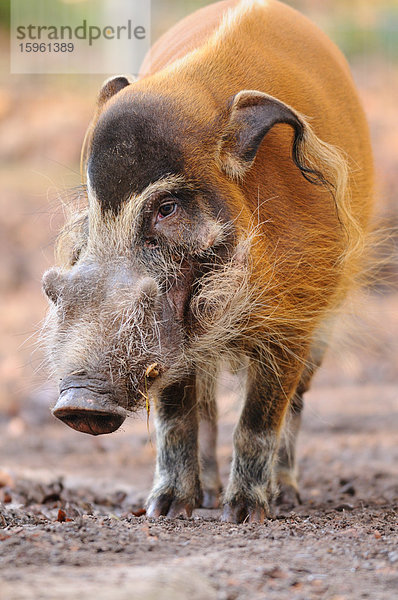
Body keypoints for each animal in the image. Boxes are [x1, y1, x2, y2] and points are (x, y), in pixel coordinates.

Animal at [42, 0, 374, 520]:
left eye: (167, 207)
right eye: (94, 207)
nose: (80, 404)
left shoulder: (296, 322)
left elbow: (260, 421)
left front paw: (246, 515)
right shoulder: (169, 339)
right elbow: (177, 417)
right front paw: (165, 510)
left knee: (294, 405)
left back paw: (285, 496)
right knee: (207, 407)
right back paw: (209, 495)